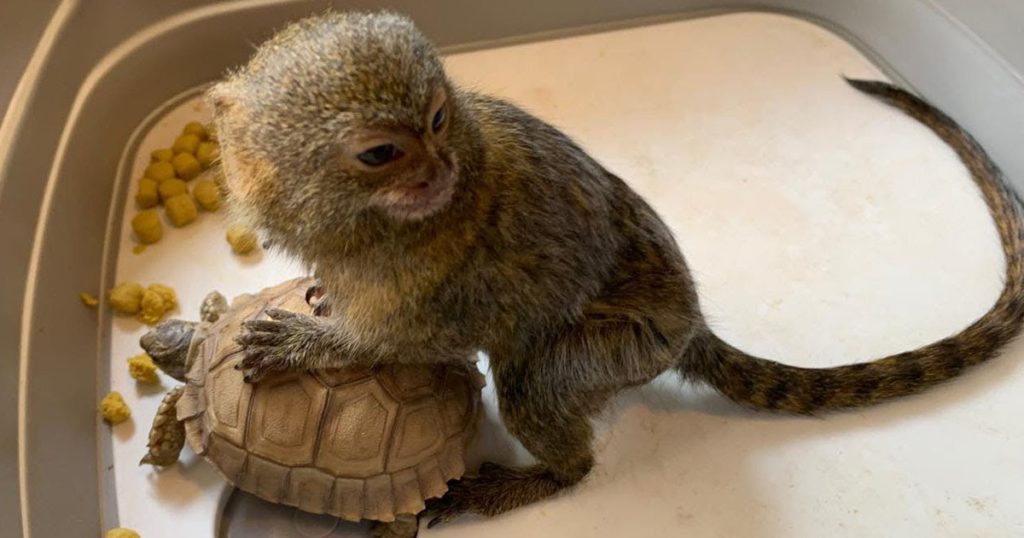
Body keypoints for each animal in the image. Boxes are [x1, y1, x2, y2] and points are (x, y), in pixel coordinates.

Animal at [207, 10, 1024, 528]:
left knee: (535, 383)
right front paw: (320, 303)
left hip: (627, 348)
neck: (379, 224)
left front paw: (314, 346)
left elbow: (410, 343)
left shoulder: (436, 280)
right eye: (382, 153)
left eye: (438, 123)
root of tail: (688, 323)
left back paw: (541, 478)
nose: (437, 169)